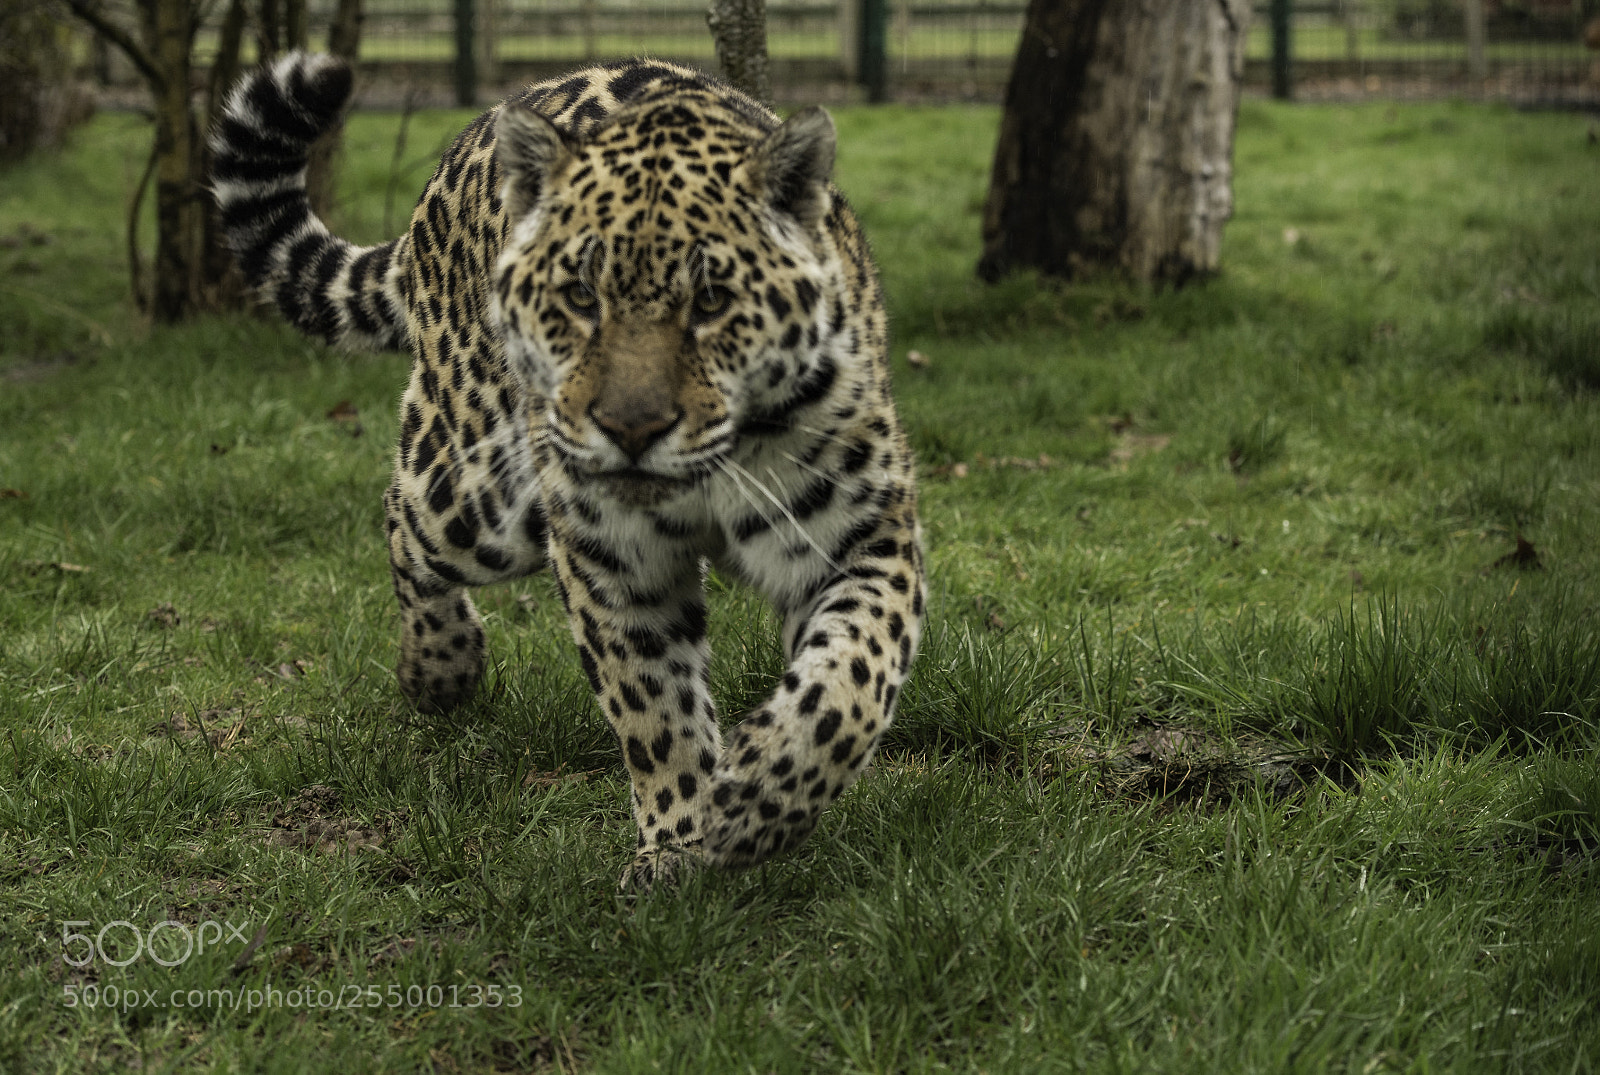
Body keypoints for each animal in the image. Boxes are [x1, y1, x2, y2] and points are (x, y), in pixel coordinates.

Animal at [210, 52, 925, 889]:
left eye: (712, 300)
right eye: (581, 296)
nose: (630, 429)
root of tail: (452, 163)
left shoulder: (861, 536)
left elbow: (849, 680)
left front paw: (758, 800)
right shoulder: (611, 560)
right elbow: (656, 711)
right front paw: (679, 844)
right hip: (482, 494)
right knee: (401, 512)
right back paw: (438, 669)